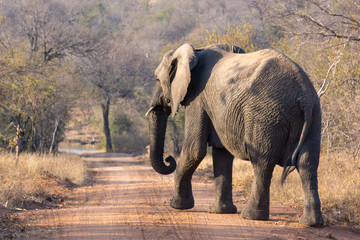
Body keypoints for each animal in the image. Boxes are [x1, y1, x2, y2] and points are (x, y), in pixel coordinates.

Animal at [146, 43, 324, 227]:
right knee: (308, 163)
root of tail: (303, 94)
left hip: (265, 115)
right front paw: (220, 211)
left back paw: (251, 216)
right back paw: (311, 222)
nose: (168, 159)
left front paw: (177, 206)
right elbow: (221, 152)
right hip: (314, 115)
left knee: (262, 162)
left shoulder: (197, 98)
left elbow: (195, 149)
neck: (196, 51)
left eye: (157, 79)